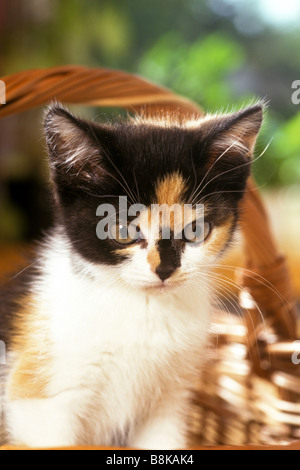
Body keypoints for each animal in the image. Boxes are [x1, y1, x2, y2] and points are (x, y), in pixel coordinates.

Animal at [0, 103, 262, 448]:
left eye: (195, 230)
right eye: (123, 231)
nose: (165, 269)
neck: (143, 307)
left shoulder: (169, 402)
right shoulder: (37, 402)